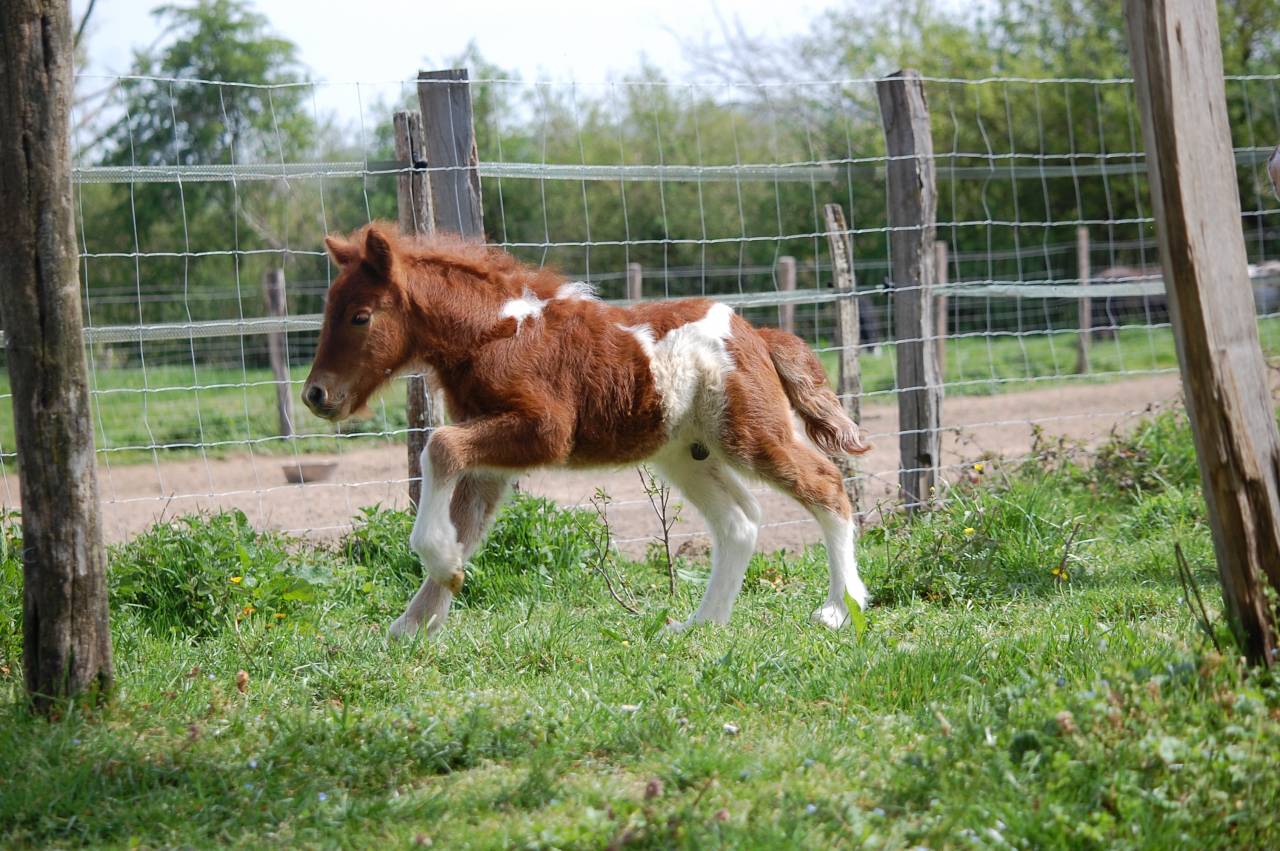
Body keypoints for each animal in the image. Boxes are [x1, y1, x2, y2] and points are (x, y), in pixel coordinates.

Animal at [302, 221, 872, 639]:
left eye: (360, 317)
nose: (316, 395)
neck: (495, 336)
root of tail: (756, 332)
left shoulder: (542, 431)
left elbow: (437, 449)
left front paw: (438, 579)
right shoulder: (489, 461)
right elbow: (465, 524)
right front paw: (415, 622)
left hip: (750, 434)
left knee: (826, 484)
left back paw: (839, 609)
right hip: (687, 453)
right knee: (739, 522)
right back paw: (698, 625)